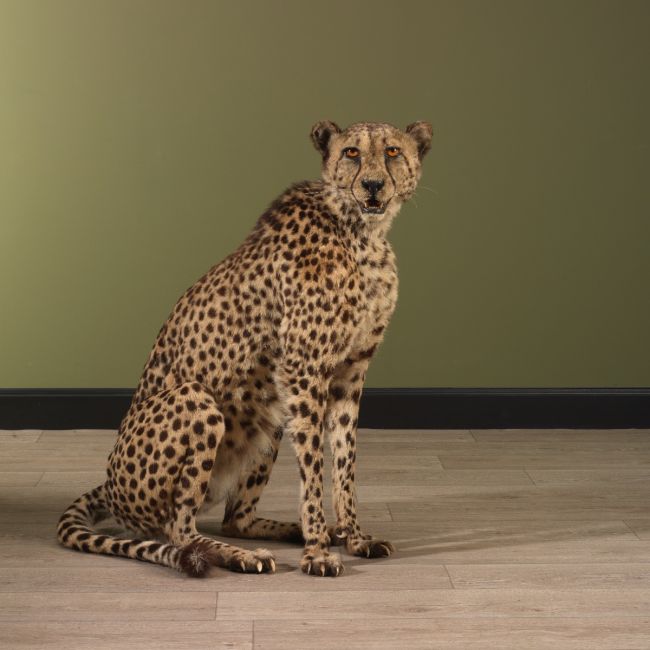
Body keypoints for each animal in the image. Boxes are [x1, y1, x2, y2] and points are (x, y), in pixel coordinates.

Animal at [57, 119, 433, 578]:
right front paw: (317, 552)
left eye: (392, 151)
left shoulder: (349, 373)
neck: (362, 232)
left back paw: (299, 533)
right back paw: (243, 555)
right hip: (198, 399)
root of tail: (110, 487)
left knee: (236, 519)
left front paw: (353, 537)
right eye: (352, 153)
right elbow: (313, 468)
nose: (373, 185)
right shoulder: (303, 370)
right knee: (178, 530)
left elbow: (345, 461)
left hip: (267, 414)